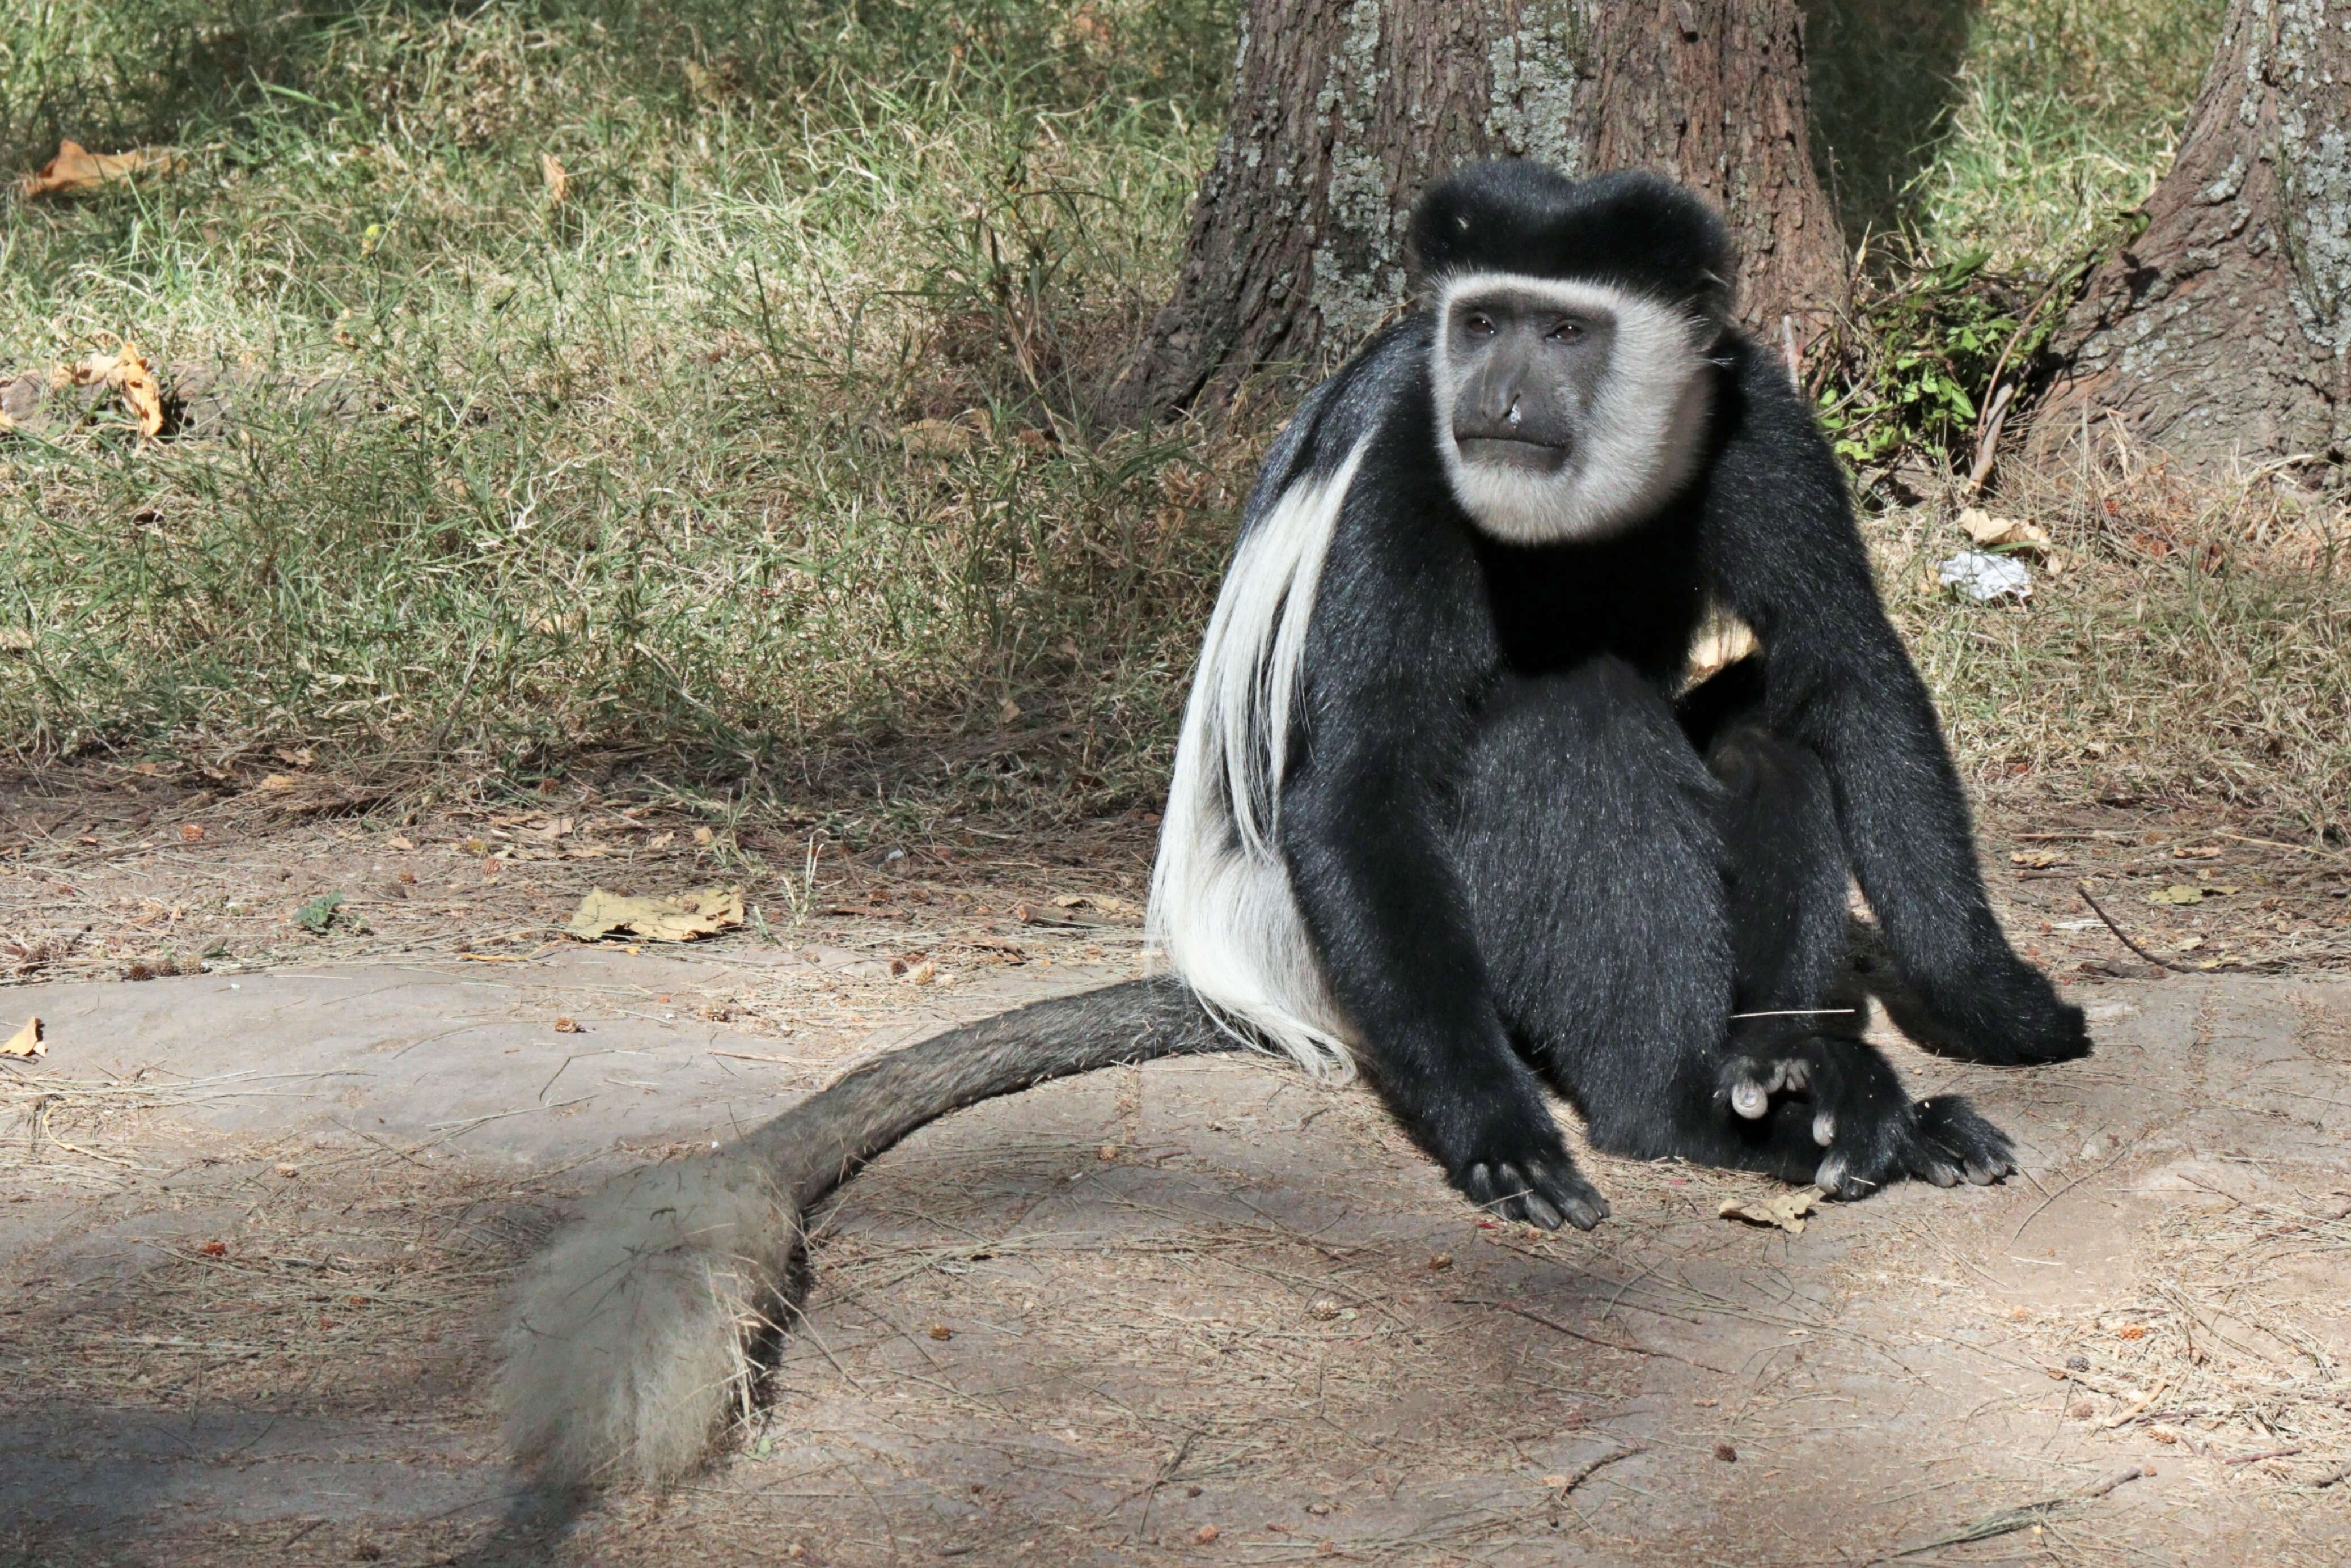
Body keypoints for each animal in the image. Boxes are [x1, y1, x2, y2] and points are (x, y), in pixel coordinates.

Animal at [505, 162, 2087, 1495]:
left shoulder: (1756, 420)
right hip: (1360, 936)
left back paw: (1804, 1082)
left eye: (1564, 332)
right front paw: (1503, 1134)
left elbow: (1848, 671)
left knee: (1764, 729)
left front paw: (1996, 1004)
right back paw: (1689, 1109)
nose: (1498, 389)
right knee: (1559, 732)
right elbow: (1360, 782)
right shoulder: (1410, 474)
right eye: (1484, 323)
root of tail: (1242, 955)